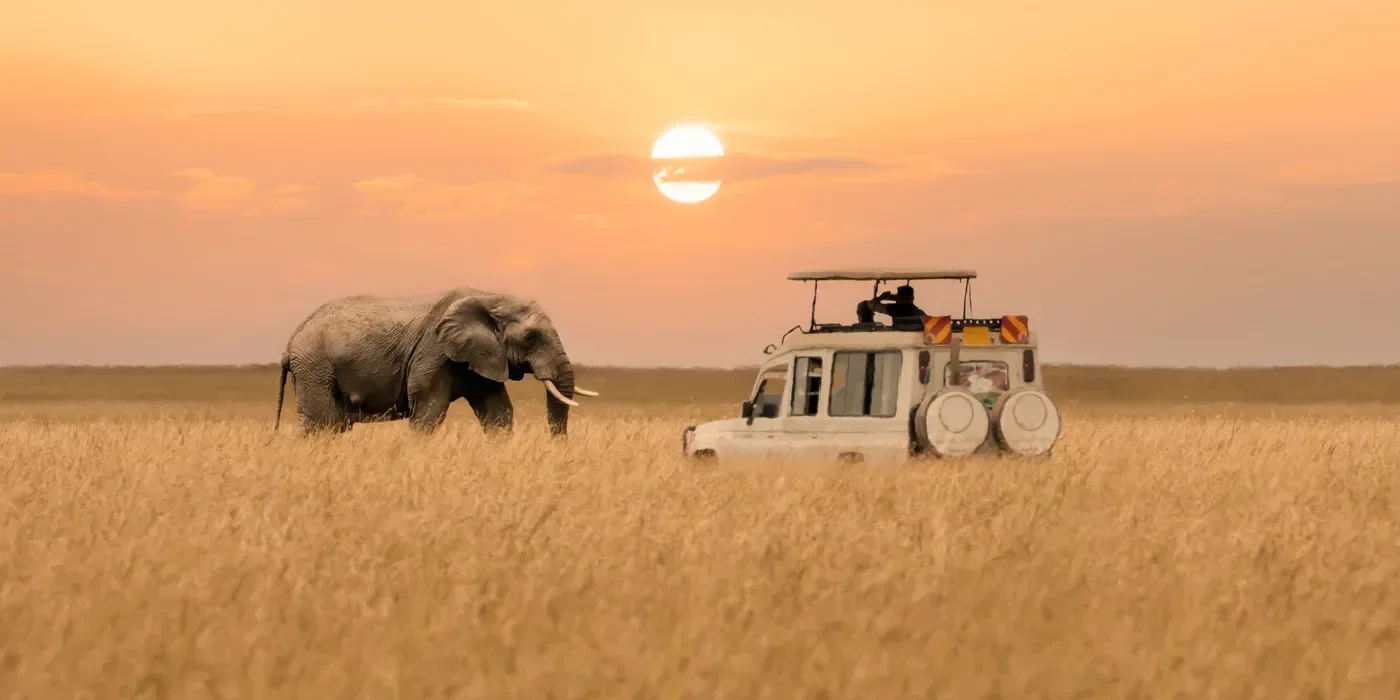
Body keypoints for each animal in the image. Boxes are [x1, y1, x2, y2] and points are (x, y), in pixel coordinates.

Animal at [273, 287, 598, 436]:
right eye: (530, 337)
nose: (557, 446)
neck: (489, 297)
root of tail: (290, 343)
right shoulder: (433, 353)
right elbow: (429, 412)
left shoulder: (481, 358)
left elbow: (498, 412)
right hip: (316, 368)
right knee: (322, 425)